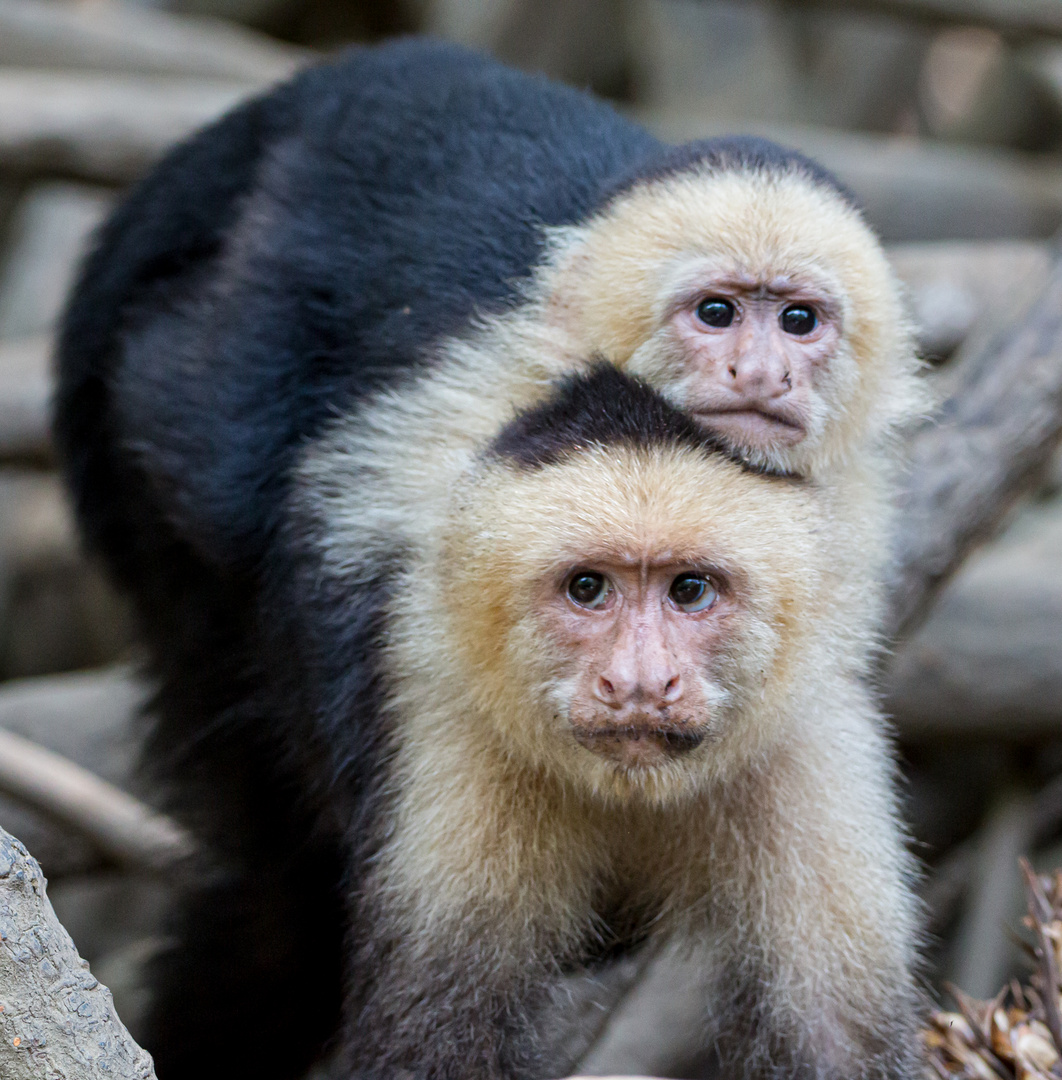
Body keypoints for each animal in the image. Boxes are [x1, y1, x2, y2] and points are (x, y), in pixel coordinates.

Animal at [298, 365, 920, 1080]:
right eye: (588, 588)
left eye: (690, 590)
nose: (639, 683)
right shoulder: (457, 746)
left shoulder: (807, 752)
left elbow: (837, 1043)